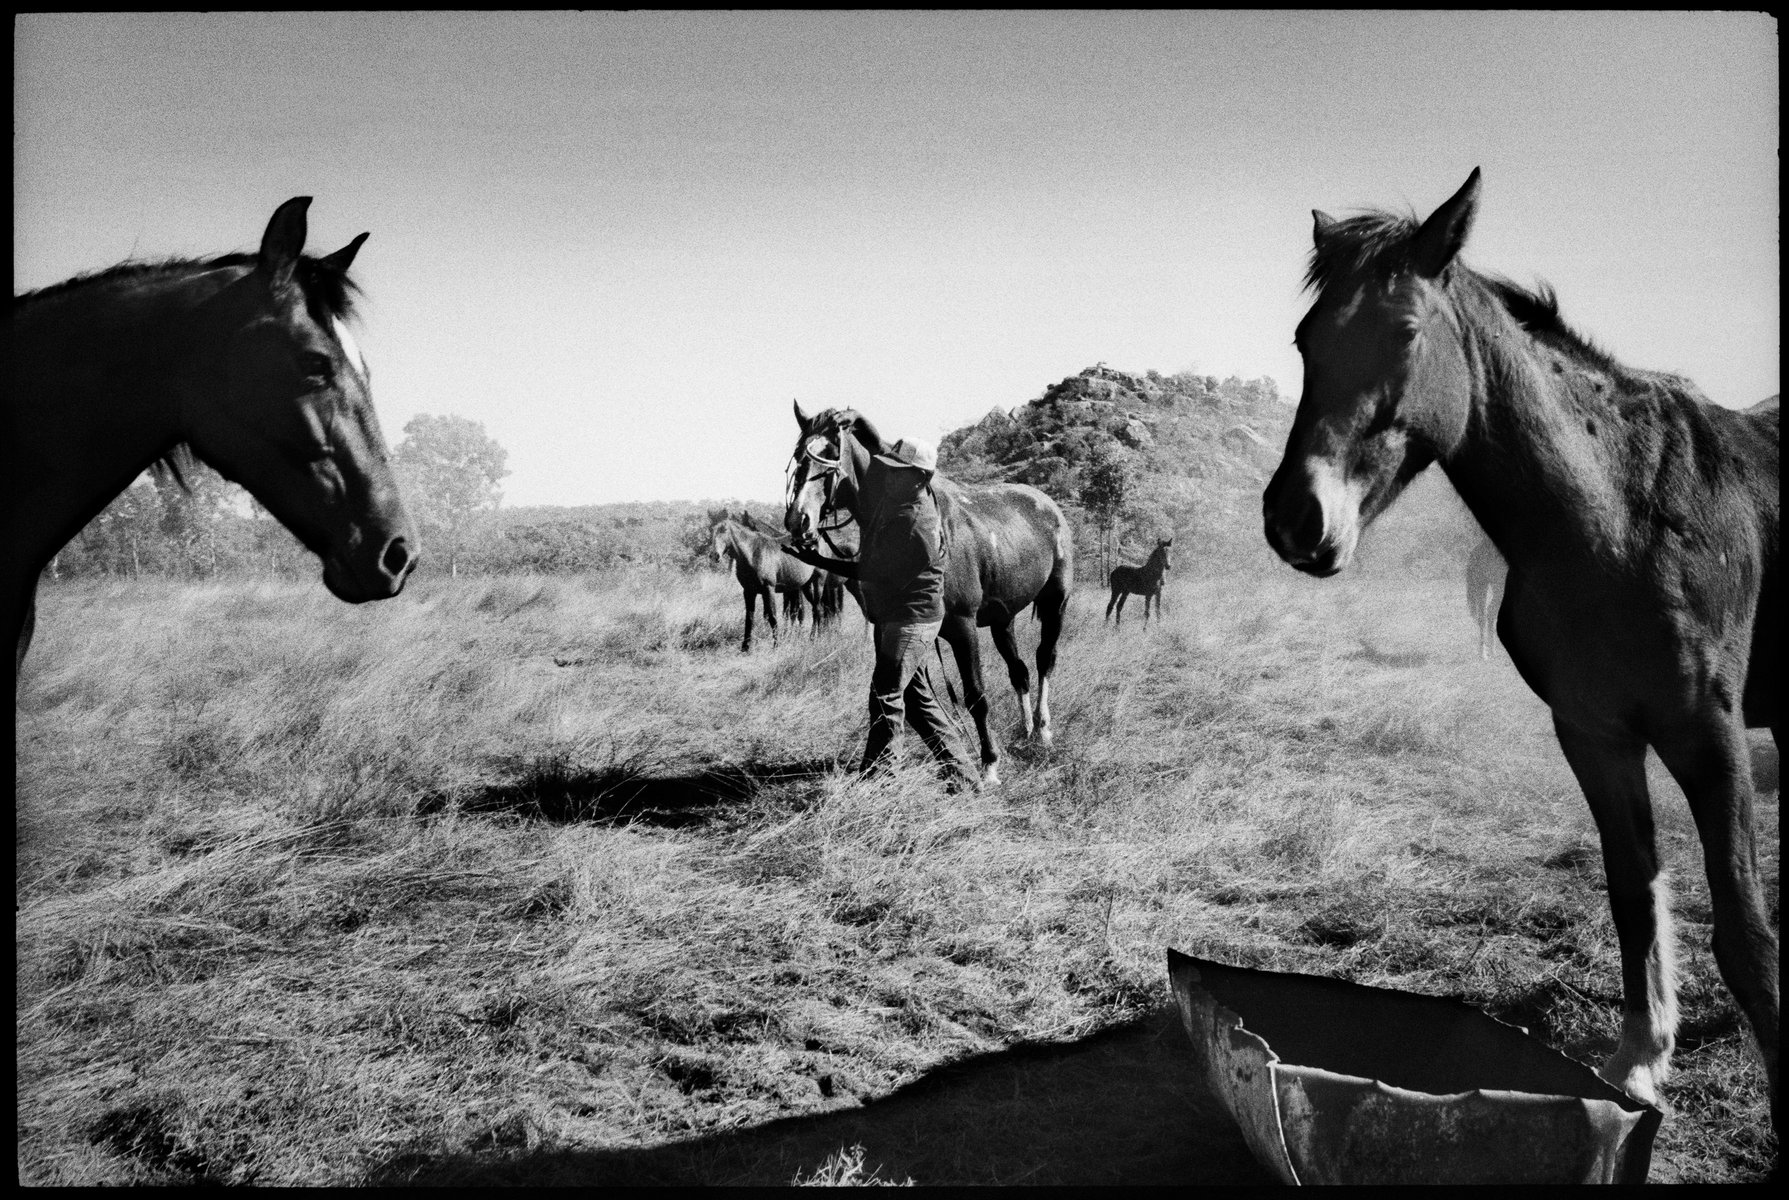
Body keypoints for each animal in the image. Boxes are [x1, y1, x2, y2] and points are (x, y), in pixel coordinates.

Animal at [706, 509, 817, 652]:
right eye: (712, 530)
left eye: (725, 530)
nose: (714, 555)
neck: (754, 554)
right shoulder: (749, 591)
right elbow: (750, 618)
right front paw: (745, 647)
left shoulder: (768, 590)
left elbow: (772, 616)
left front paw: (776, 645)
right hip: (802, 587)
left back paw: (813, 637)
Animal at [785, 402, 1073, 784]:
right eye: (798, 456)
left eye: (831, 453)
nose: (798, 521)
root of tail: (1048, 506)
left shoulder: (964, 627)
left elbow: (976, 695)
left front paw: (989, 765)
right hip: (1003, 619)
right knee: (1020, 670)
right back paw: (1026, 729)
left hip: (1055, 604)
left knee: (1045, 660)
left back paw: (1043, 730)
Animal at [1263, 168, 1779, 1136]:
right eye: (1306, 339)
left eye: (1404, 331)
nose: (1294, 519)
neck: (1617, 517)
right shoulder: (1593, 732)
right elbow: (1632, 895)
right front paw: (1639, 1061)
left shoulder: (1709, 735)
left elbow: (1743, 932)